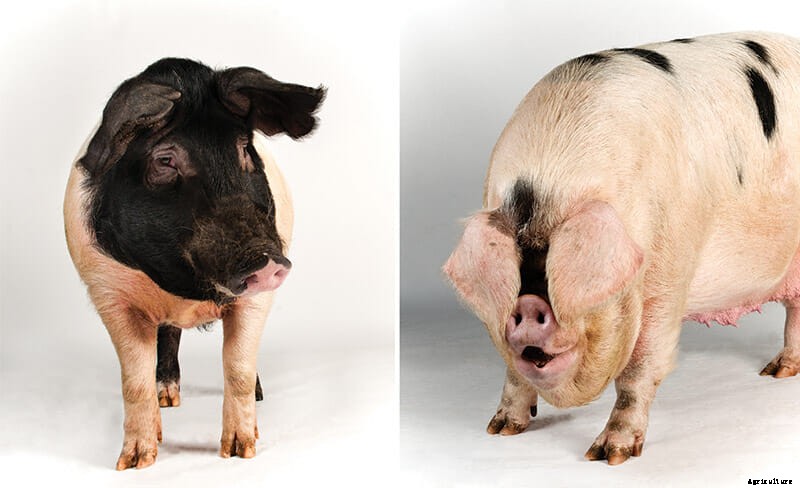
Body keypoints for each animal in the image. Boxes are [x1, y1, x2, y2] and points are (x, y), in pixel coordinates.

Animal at [64, 58, 325, 469]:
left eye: (245, 150)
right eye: (165, 160)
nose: (267, 261)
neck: (183, 286)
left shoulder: (257, 298)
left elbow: (237, 368)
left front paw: (240, 452)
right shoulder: (108, 293)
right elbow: (133, 380)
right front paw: (134, 463)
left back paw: (258, 395)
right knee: (168, 337)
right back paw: (168, 398)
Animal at [443, 32, 800, 465]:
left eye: (557, 263)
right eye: (517, 260)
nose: (526, 305)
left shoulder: (670, 270)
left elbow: (639, 369)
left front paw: (608, 456)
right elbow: (513, 372)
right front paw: (500, 430)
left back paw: (773, 373)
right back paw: (776, 372)